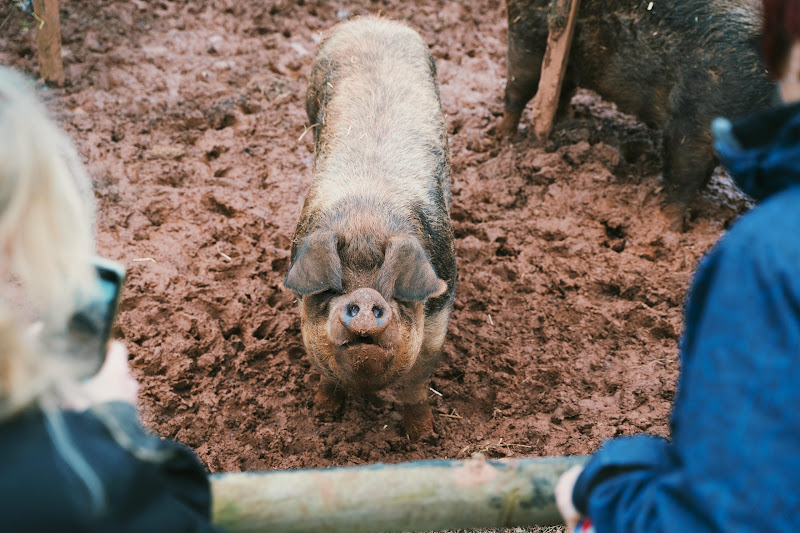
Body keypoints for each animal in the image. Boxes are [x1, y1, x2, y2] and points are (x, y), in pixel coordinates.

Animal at [284, 16, 456, 441]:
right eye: (333, 289)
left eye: (390, 287)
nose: (363, 299)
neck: (367, 219)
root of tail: (373, 21)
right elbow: (325, 372)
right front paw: (323, 415)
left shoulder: (439, 312)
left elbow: (416, 383)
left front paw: (423, 437)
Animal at [496, 0, 778, 228]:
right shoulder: (696, 114)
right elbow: (683, 174)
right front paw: (670, 229)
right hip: (529, 36)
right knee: (517, 91)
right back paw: (503, 139)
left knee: (561, 89)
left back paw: (568, 122)